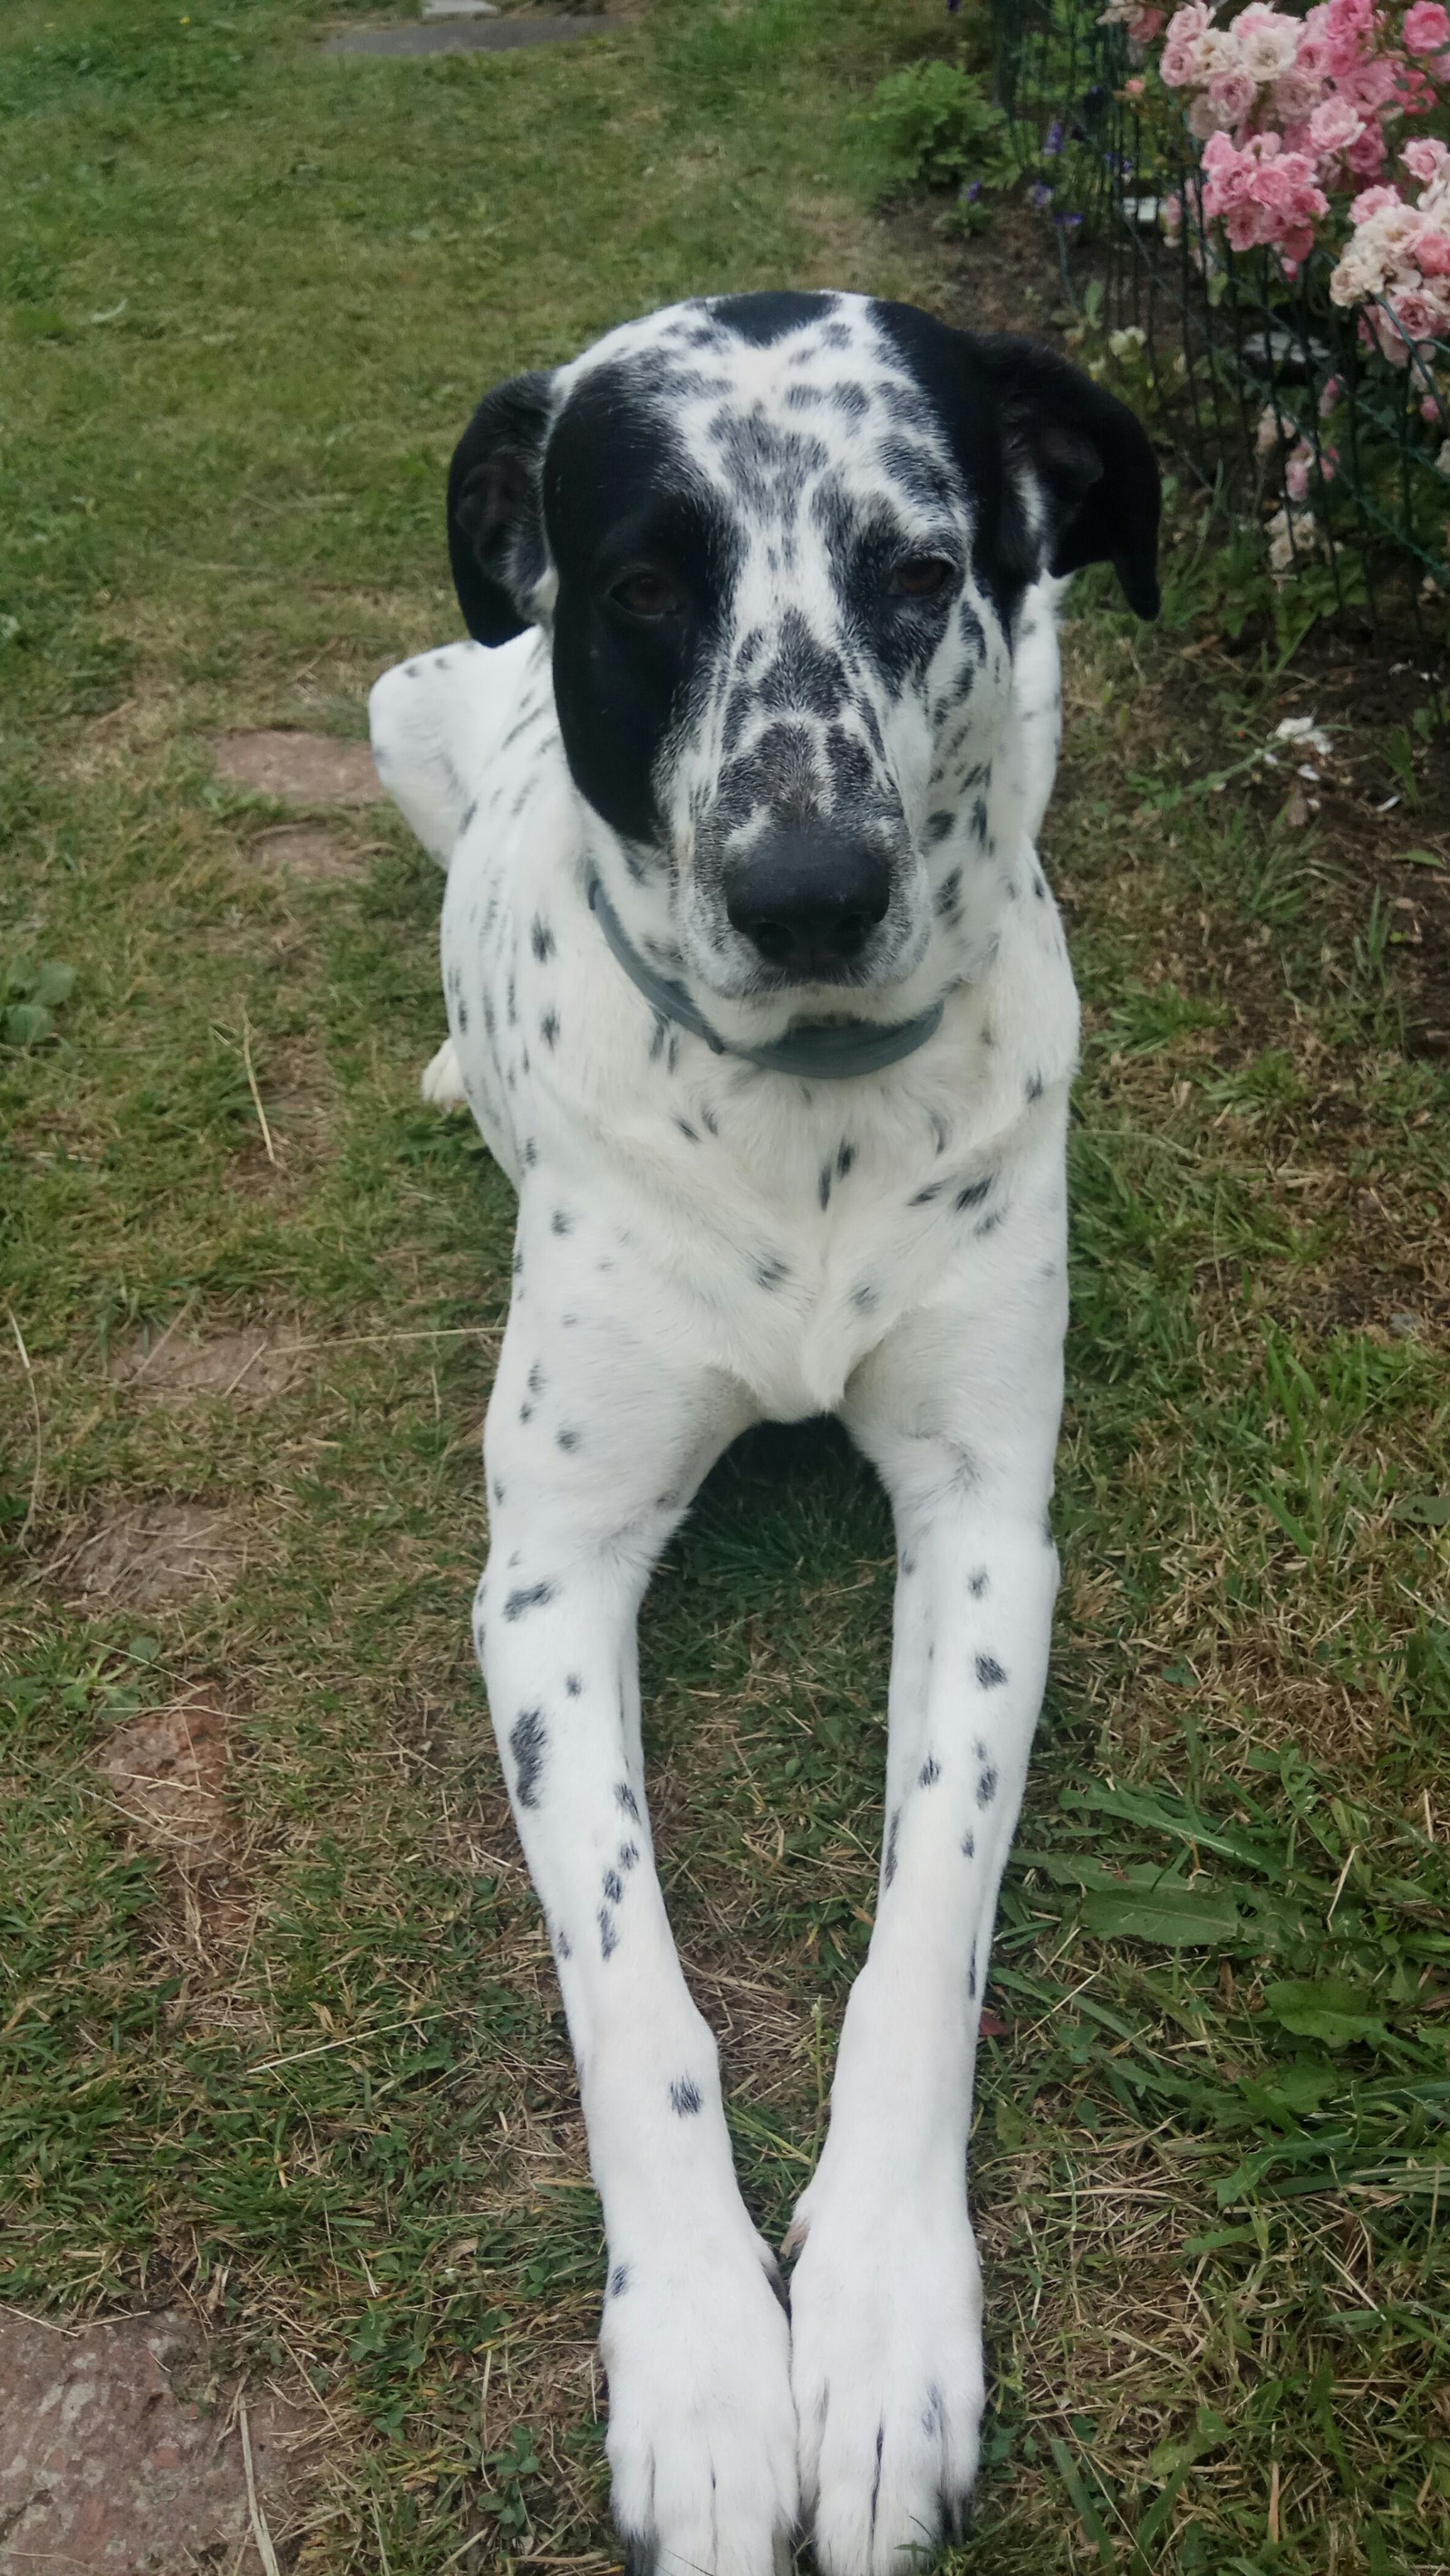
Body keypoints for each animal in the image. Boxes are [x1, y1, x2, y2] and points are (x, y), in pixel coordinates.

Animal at [368, 292, 1164, 2576]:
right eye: (643, 587)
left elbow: (923, 1929)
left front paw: (881, 2330)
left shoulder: (986, 1522)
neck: (804, 1113)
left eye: (914, 570)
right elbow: (629, 1986)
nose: (808, 888)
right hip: (405, 701)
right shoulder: (545, 1575)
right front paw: (708, 2376)